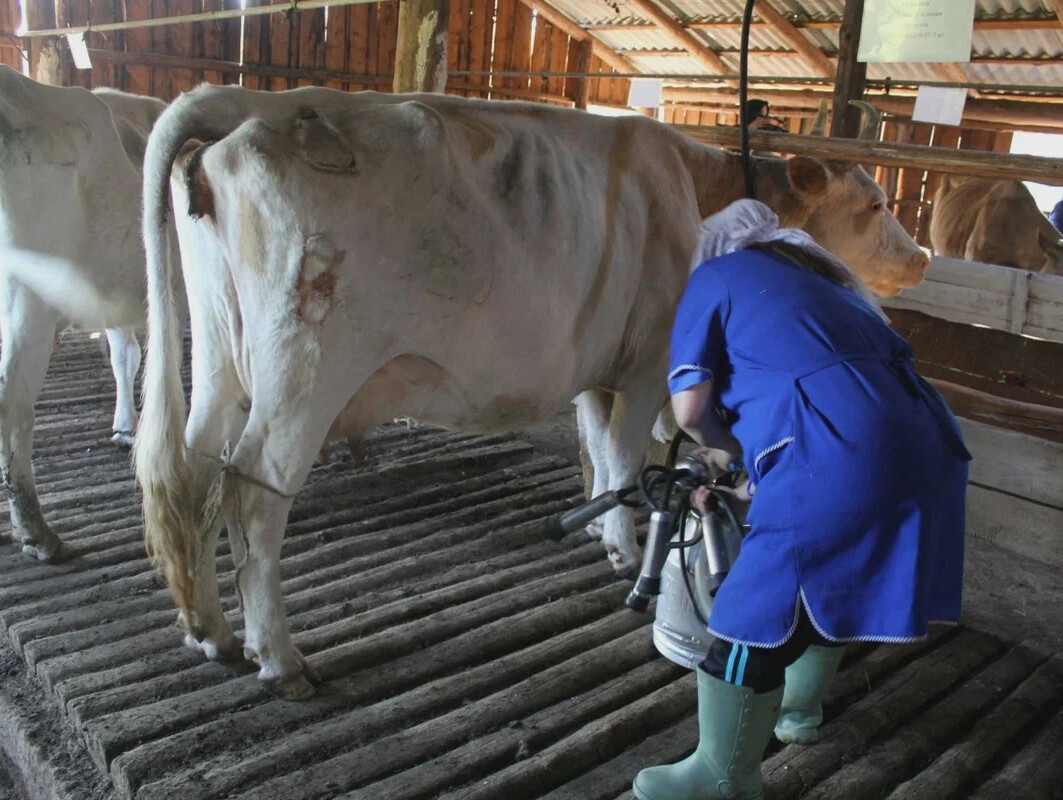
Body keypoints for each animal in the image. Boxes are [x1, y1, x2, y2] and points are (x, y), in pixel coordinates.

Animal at [135, 84, 931, 696]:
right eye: (874, 204)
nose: (921, 257)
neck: (696, 188)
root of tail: (254, 102)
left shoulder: (595, 361)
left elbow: (600, 449)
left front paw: (604, 529)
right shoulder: (648, 360)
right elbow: (622, 452)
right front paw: (623, 546)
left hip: (220, 355)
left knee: (193, 471)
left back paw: (211, 631)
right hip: (303, 369)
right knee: (251, 493)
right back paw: (279, 657)